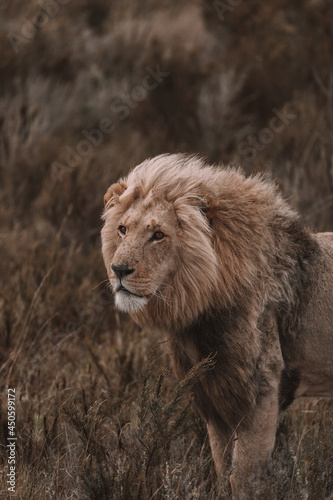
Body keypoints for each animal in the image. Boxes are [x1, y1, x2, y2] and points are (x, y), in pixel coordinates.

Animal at [100, 153, 332, 496]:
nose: (118, 270)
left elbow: (243, 477)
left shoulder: (260, 394)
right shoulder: (213, 397)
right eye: (122, 230)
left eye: (158, 235)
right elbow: (223, 470)